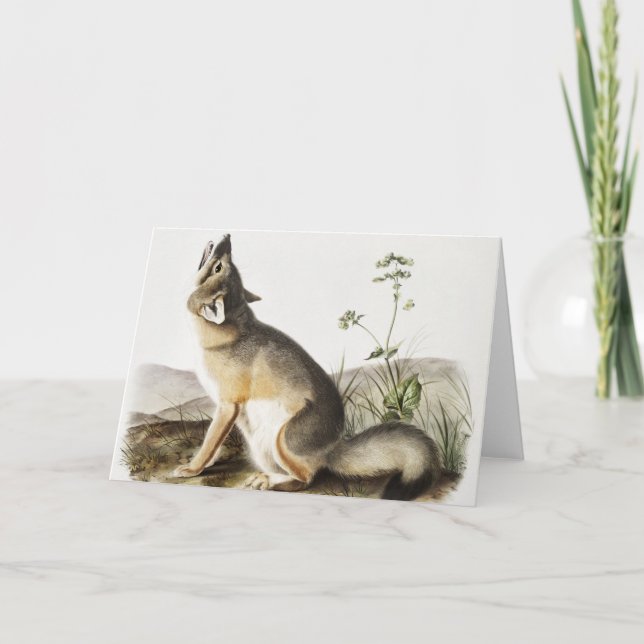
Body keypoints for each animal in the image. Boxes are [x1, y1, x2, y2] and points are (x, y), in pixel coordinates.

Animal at [173, 234, 441, 501]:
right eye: (220, 267)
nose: (227, 237)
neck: (229, 332)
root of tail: (332, 448)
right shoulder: (227, 409)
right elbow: (213, 447)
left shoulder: (228, 406)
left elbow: (210, 442)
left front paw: (192, 468)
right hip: (261, 446)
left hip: (281, 440)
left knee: (305, 479)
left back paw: (267, 481)